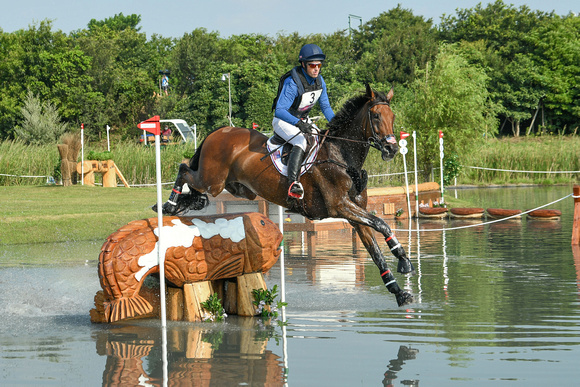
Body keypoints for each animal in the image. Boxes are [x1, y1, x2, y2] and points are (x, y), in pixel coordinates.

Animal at [157, 85, 412, 306]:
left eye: (392, 116)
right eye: (376, 116)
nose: (392, 149)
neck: (341, 155)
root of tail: (219, 132)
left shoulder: (355, 214)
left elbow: (375, 247)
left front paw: (398, 290)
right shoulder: (340, 206)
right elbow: (382, 224)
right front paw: (403, 260)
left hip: (235, 187)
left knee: (196, 185)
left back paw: (187, 203)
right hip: (213, 181)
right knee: (184, 169)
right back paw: (169, 204)